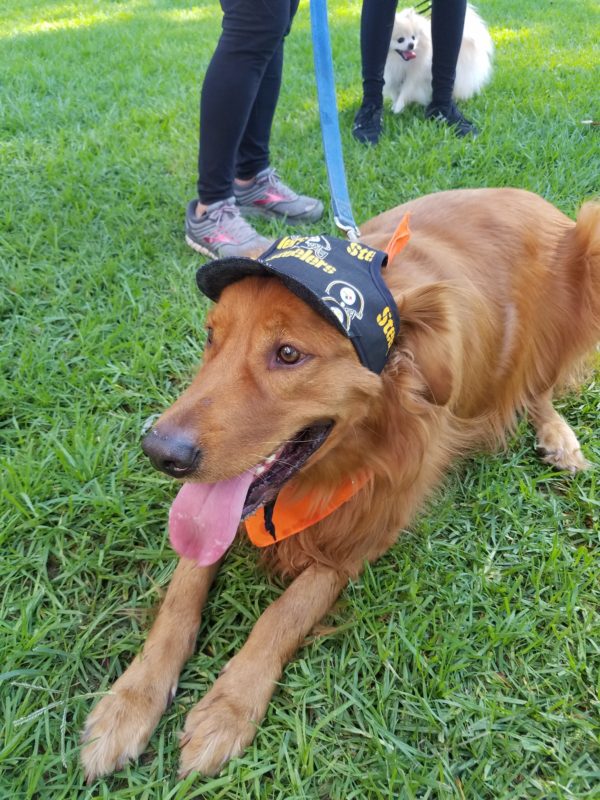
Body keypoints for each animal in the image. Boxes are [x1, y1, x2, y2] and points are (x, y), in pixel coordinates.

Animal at [81, 189, 600, 780]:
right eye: (212, 337)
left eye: (288, 354)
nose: (161, 452)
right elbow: (179, 597)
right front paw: (129, 702)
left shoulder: (365, 532)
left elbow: (285, 613)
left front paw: (228, 708)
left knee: (538, 386)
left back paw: (558, 435)